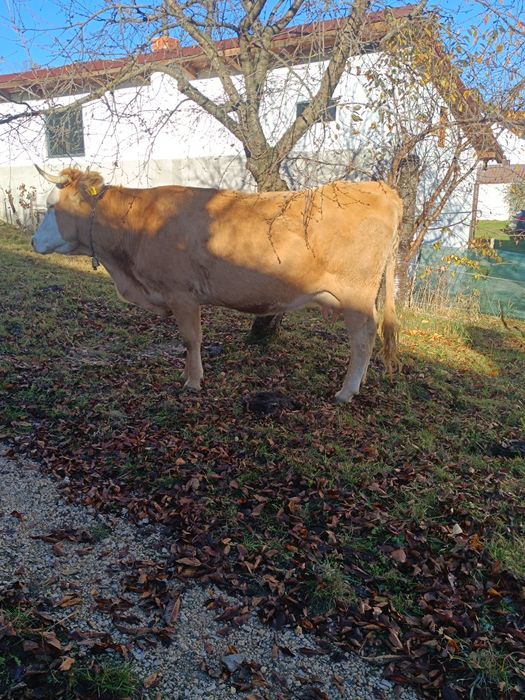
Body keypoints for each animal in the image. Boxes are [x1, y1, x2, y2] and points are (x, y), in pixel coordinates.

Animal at [32, 167, 402, 402]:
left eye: (51, 206)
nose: (33, 241)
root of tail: (379, 189)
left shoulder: (181, 294)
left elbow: (191, 339)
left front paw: (193, 381)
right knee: (368, 336)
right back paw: (360, 380)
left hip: (355, 291)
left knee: (362, 338)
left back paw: (346, 391)